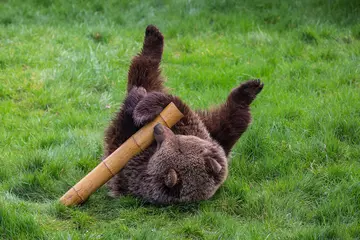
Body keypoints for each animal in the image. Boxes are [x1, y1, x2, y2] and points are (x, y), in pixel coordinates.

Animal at [102, 24, 262, 204]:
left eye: (176, 146)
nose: (158, 128)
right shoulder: (203, 134)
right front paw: (144, 107)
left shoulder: (133, 166)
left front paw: (139, 107)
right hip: (214, 131)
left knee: (143, 73)